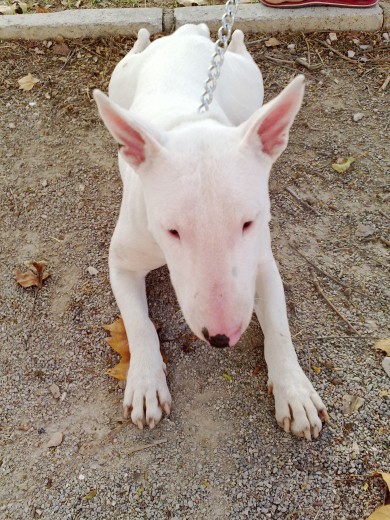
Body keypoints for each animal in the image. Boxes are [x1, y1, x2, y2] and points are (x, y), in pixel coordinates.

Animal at [94, 23, 330, 438]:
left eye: (248, 222)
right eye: (171, 231)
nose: (222, 338)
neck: (192, 123)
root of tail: (186, 33)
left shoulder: (262, 262)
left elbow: (279, 325)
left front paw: (295, 391)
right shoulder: (121, 262)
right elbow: (138, 323)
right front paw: (145, 384)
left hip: (248, 80)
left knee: (238, 52)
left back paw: (233, 37)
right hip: (121, 78)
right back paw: (143, 37)